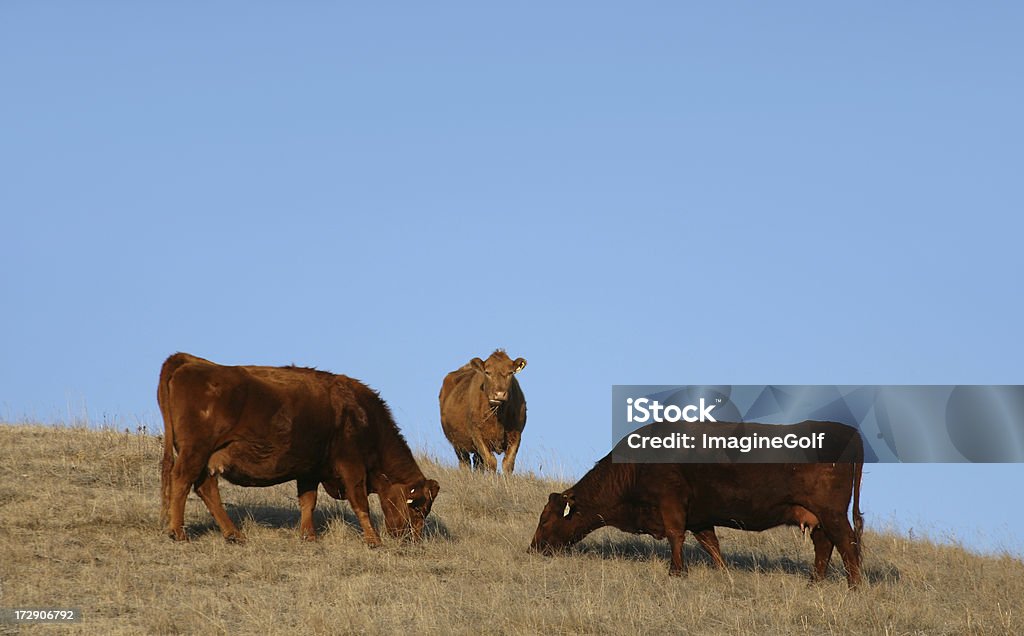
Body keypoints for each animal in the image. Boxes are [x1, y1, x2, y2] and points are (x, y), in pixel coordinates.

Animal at [157, 352, 438, 544]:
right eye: (417, 506)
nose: (412, 539)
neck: (362, 415)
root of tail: (190, 361)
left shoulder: (310, 470)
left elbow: (308, 502)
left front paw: (308, 535)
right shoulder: (352, 467)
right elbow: (361, 504)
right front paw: (374, 541)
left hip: (206, 459)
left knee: (207, 489)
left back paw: (233, 534)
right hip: (195, 451)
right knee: (181, 480)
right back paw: (178, 532)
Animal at [536, 421, 864, 585]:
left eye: (545, 519)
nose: (533, 548)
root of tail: (849, 432)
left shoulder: (671, 503)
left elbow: (675, 536)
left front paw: (676, 572)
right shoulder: (700, 517)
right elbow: (711, 545)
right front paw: (722, 573)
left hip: (832, 513)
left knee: (847, 544)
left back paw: (854, 585)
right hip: (818, 517)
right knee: (825, 545)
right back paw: (814, 582)